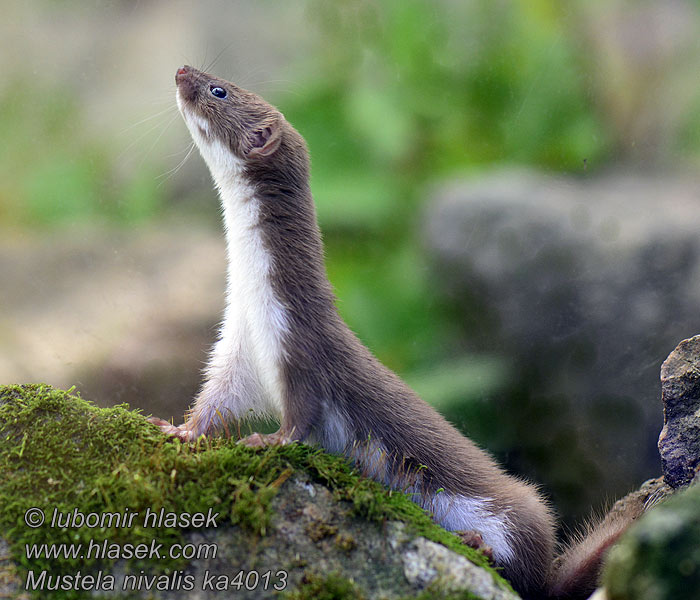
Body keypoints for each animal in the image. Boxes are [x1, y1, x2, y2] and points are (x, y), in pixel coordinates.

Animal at [148, 63, 624, 596]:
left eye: (219, 90)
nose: (182, 69)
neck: (254, 303)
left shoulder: (301, 346)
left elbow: (301, 418)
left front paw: (264, 441)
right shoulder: (237, 349)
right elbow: (215, 403)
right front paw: (175, 428)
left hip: (515, 514)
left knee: (521, 563)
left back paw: (479, 545)